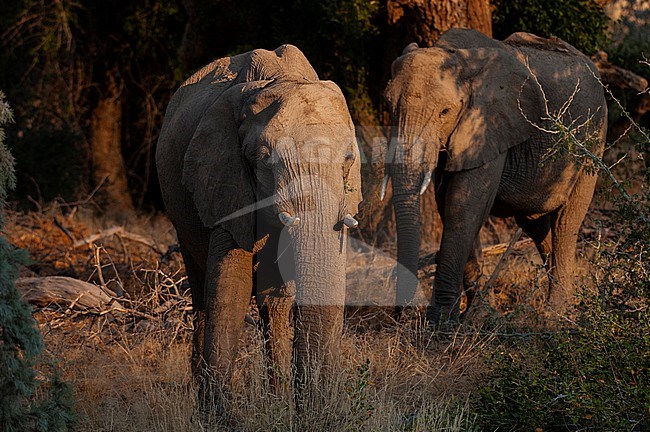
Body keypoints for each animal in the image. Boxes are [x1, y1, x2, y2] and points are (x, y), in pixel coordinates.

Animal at [155, 44, 362, 402]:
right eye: (263, 159)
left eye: (348, 161)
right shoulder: (224, 178)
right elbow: (230, 288)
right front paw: (218, 410)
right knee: (201, 289)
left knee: (275, 302)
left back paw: (277, 398)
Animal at [382, 27, 604, 324]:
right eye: (388, 105)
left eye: (445, 112)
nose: (400, 316)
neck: (460, 60)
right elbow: (448, 205)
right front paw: (470, 317)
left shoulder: (488, 124)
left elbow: (463, 206)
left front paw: (440, 324)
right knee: (536, 225)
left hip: (593, 141)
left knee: (565, 224)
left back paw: (556, 314)